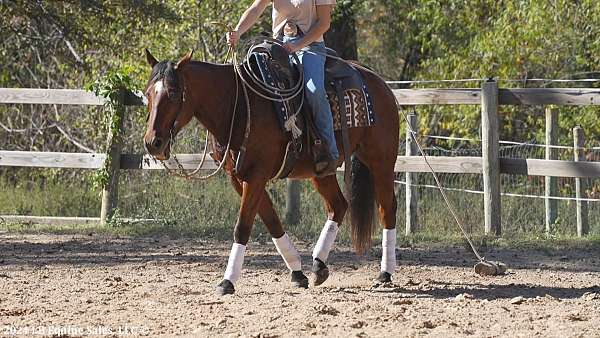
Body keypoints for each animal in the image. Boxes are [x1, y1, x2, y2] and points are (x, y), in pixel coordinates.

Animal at [143, 48, 400, 296]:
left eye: (173, 92)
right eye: (147, 94)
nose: (152, 143)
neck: (238, 105)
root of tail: (379, 83)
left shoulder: (256, 176)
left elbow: (242, 227)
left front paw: (227, 281)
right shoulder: (239, 178)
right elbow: (272, 221)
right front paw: (297, 273)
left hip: (381, 162)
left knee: (387, 208)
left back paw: (385, 273)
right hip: (321, 172)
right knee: (338, 205)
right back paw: (319, 265)